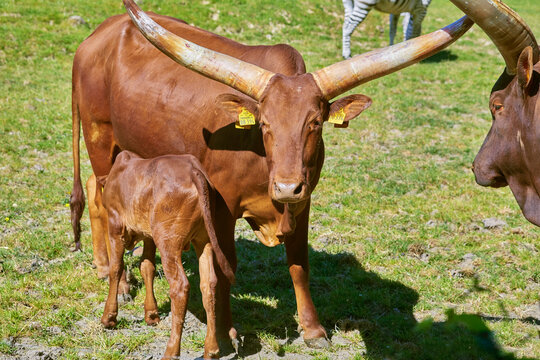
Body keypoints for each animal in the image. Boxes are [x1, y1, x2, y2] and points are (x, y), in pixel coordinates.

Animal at [100, 150, 235, 358]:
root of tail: (194, 171)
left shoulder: (115, 225)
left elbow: (116, 268)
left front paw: (109, 318)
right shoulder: (149, 235)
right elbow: (146, 266)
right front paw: (151, 314)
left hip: (168, 241)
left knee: (180, 287)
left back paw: (171, 351)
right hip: (203, 240)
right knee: (209, 284)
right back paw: (211, 349)